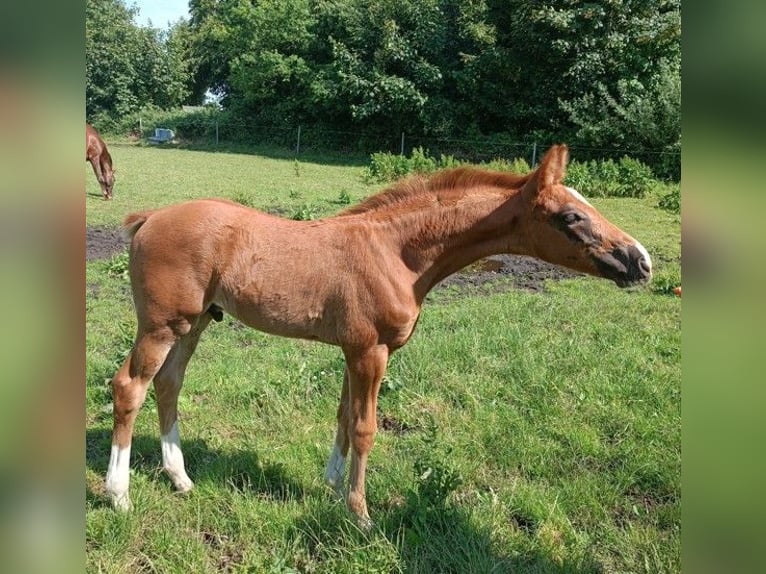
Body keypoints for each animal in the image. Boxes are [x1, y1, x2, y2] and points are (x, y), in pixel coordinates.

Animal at [104, 144, 652, 527]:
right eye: (571, 216)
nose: (641, 261)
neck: (398, 253)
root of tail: (148, 218)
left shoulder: (352, 349)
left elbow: (344, 418)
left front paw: (331, 486)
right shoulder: (372, 351)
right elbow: (367, 428)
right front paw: (360, 513)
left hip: (193, 324)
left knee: (168, 385)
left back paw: (180, 478)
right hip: (161, 325)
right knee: (129, 387)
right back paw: (119, 494)